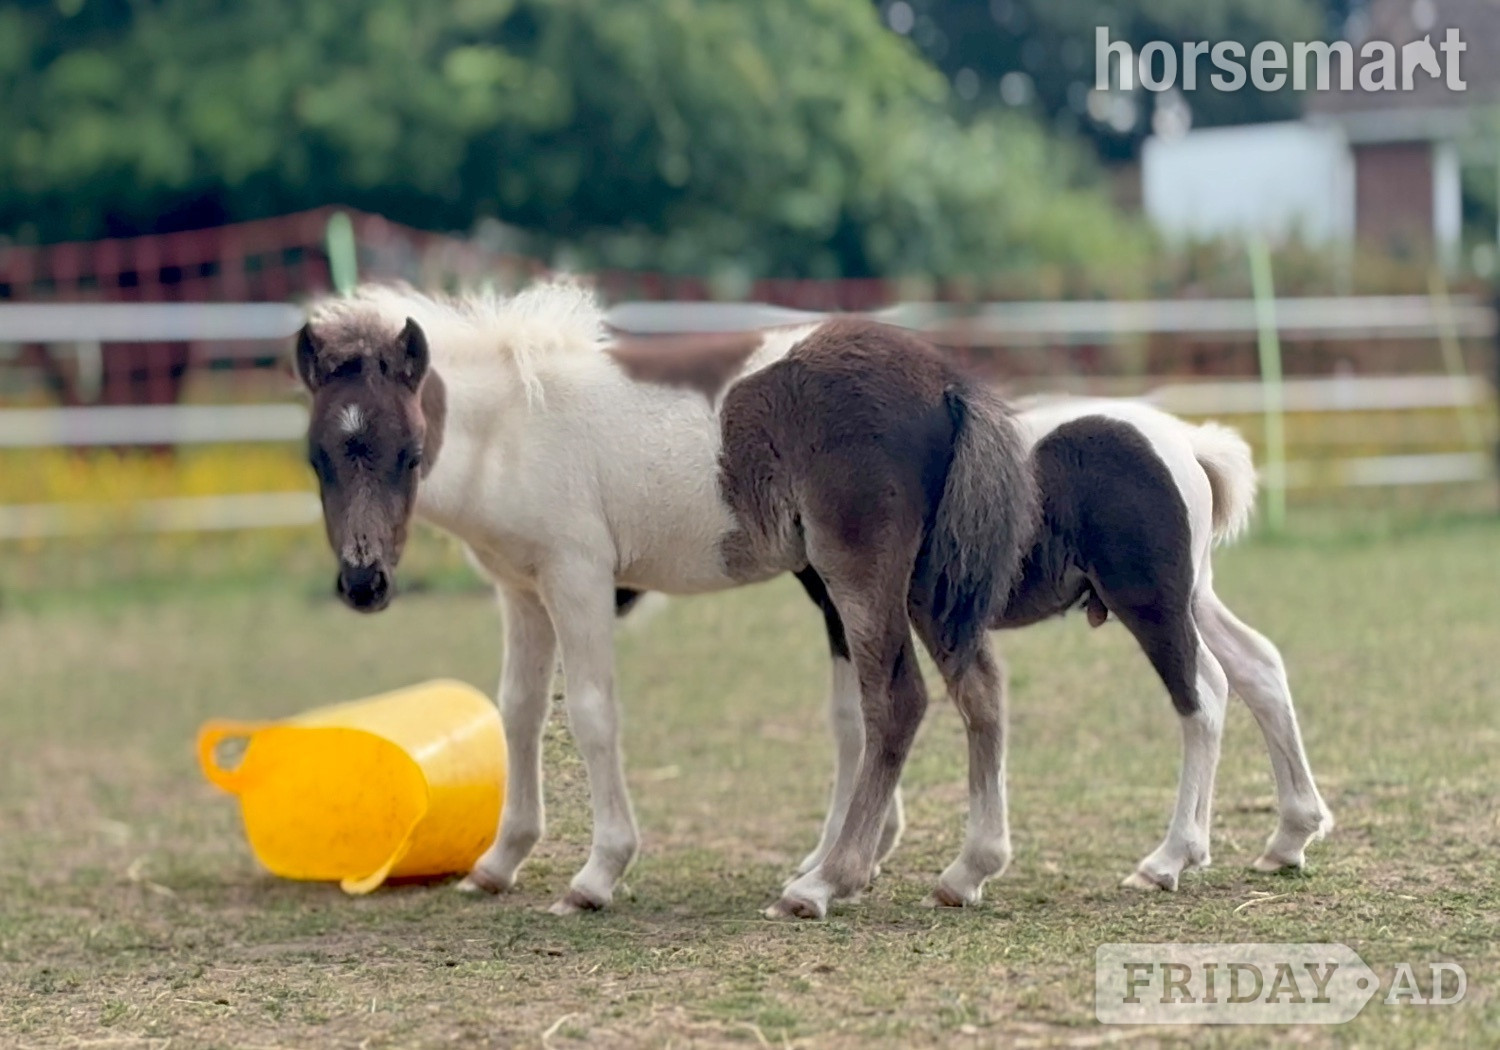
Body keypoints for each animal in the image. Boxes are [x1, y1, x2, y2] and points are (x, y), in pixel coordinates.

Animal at [293, 280, 1037, 919]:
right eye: (316, 459)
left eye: (410, 454)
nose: (364, 584)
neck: (512, 427)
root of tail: (945, 380)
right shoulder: (522, 590)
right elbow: (520, 710)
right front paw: (499, 863)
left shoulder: (577, 575)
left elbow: (591, 712)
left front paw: (596, 875)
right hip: (928, 576)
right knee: (978, 688)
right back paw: (966, 870)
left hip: (860, 569)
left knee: (897, 699)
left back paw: (825, 882)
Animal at [785, 396, 1333, 894]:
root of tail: (1187, 446)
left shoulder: (845, 599)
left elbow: (854, 716)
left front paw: (830, 862)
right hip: (1194, 596)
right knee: (1258, 666)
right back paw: (1289, 838)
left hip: (1152, 604)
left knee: (1204, 692)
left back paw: (1169, 859)